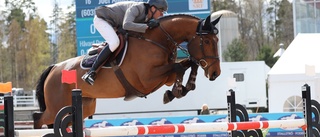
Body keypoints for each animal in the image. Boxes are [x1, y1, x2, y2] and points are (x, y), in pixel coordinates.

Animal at [33, 13, 221, 129]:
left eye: (216, 40)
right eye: (207, 41)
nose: (215, 73)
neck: (157, 40)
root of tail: (54, 68)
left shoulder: (165, 77)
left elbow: (188, 64)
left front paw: (182, 89)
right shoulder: (147, 79)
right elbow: (179, 66)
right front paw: (175, 91)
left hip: (84, 106)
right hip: (57, 107)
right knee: (39, 117)